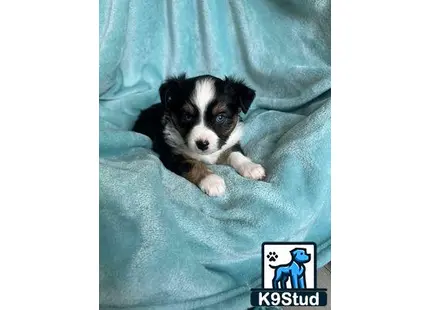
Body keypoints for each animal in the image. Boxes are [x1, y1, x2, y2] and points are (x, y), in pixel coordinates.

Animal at [131, 73, 266, 196]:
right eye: (187, 116)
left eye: (220, 117)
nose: (202, 144)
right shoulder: (172, 154)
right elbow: (192, 164)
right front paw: (211, 181)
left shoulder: (230, 142)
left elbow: (235, 153)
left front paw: (250, 167)